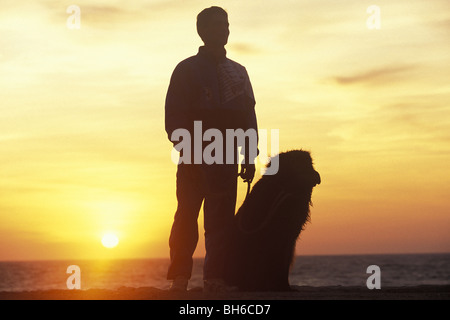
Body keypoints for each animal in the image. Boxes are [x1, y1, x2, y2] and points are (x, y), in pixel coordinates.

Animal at [225, 150, 320, 290]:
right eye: (298, 165)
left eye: (309, 164)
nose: (316, 176)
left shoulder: (289, 238)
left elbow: (283, 262)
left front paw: (284, 286)